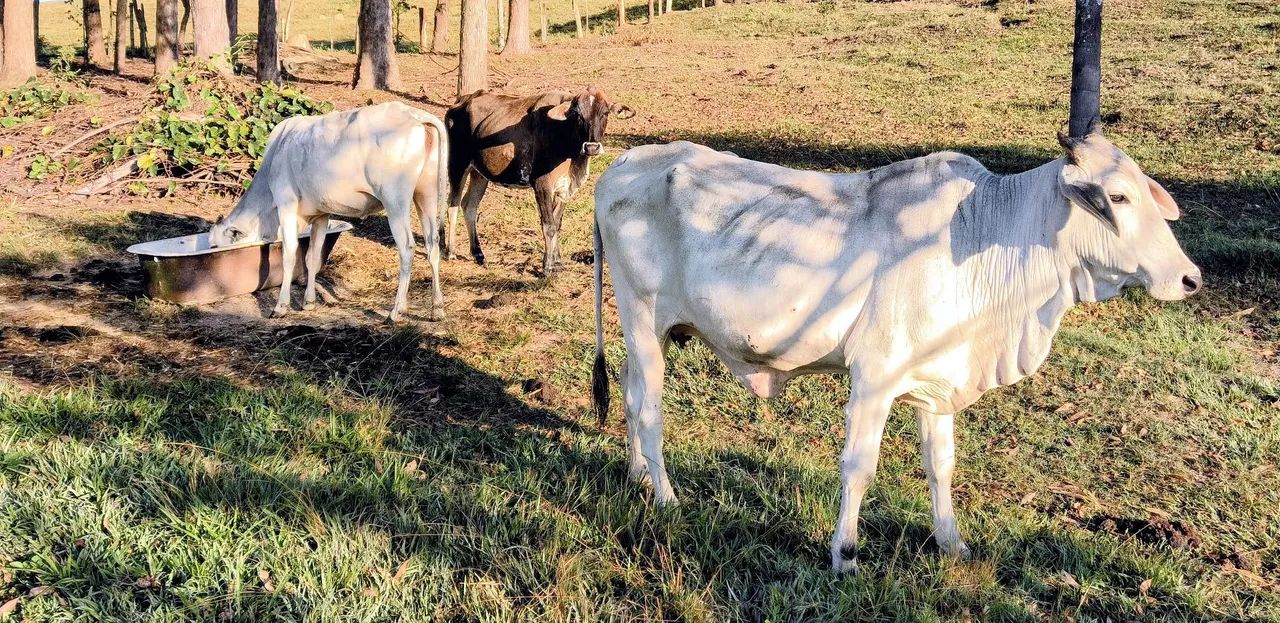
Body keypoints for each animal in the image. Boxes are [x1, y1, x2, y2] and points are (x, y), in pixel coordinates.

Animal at [209, 102, 450, 322]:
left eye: (215, 246)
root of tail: (414, 114)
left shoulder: (286, 203)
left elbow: (290, 254)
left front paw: (281, 306)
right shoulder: (321, 214)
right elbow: (312, 257)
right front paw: (309, 302)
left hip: (395, 199)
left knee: (407, 247)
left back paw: (396, 311)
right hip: (426, 194)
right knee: (432, 244)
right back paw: (436, 308)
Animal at [444, 87, 633, 274]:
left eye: (605, 113)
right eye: (577, 114)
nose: (591, 147)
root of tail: (463, 100)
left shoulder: (564, 189)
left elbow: (557, 223)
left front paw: (557, 263)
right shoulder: (542, 185)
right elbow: (548, 225)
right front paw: (548, 267)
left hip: (479, 173)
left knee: (469, 205)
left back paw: (478, 254)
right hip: (457, 165)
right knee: (453, 205)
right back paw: (450, 251)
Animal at [591, 129, 1201, 572]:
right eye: (1117, 196)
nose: (1190, 279)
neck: (983, 235)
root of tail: (624, 164)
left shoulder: (937, 386)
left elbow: (941, 465)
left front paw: (953, 544)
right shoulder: (874, 378)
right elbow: (859, 467)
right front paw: (845, 555)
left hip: (645, 334)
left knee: (629, 393)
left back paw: (636, 476)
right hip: (643, 321)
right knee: (649, 409)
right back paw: (666, 497)